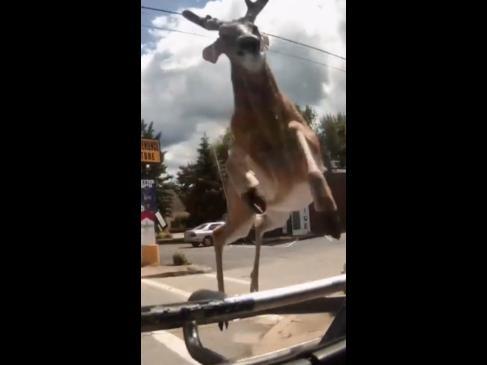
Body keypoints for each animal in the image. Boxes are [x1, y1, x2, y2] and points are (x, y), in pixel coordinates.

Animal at [183, 0, 344, 302]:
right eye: (223, 35)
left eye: (254, 26)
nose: (250, 42)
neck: (269, 129)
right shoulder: (243, 145)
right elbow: (231, 159)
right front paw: (251, 189)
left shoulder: (308, 138)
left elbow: (309, 156)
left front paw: (330, 215)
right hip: (241, 211)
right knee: (222, 233)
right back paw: (223, 297)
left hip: (280, 213)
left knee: (255, 227)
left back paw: (253, 284)